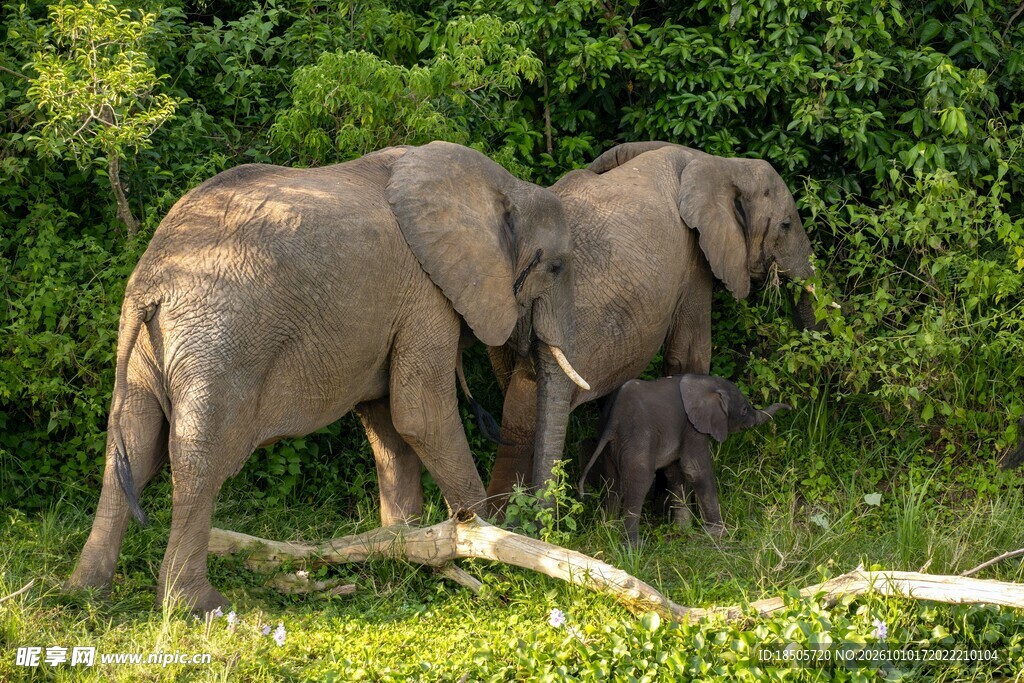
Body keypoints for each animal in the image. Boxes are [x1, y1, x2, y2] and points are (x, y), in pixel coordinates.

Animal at [66, 141, 588, 612]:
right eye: (556, 266)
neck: (499, 186)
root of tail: (149, 283)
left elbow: (388, 425)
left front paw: (401, 545)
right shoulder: (425, 294)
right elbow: (420, 415)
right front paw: (482, 542)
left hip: (147, 351)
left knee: (132, 442)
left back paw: (85, 593)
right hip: (217, 343)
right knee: (200, 458)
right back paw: (197, 606)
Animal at [577, 374, 789, 544]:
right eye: (744, 410)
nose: (789, 406)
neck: (705, 382)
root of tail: (613, 420)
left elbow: (676, 472)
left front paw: (683, 530)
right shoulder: (692, 426)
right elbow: (695, 469)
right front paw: (718, 534)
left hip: (610, 445)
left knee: (611, 483)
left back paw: (608, 531)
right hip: (638, 437)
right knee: (639, 483)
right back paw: (633, 546)